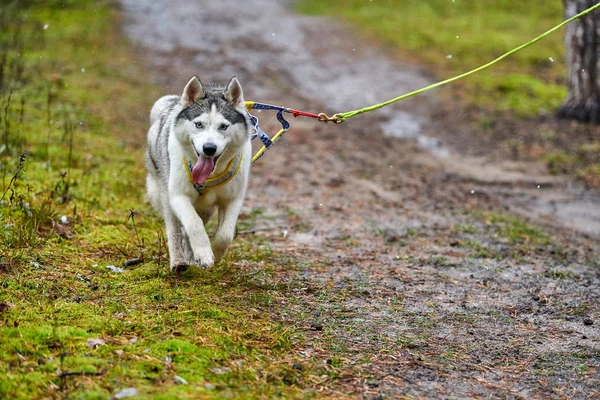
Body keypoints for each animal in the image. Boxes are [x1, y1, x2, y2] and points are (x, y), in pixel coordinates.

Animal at [146, 76, 252, 272]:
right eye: (199, 124)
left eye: (223, 126)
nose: (209, 148)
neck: (209, 176)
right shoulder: (178, 197)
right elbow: (193, 224)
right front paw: (203, 253)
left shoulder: (232, 199)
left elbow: (226, 234)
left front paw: (215, 253)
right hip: (164, 193)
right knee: (175, 229)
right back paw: (179, 261)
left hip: (206, 208)